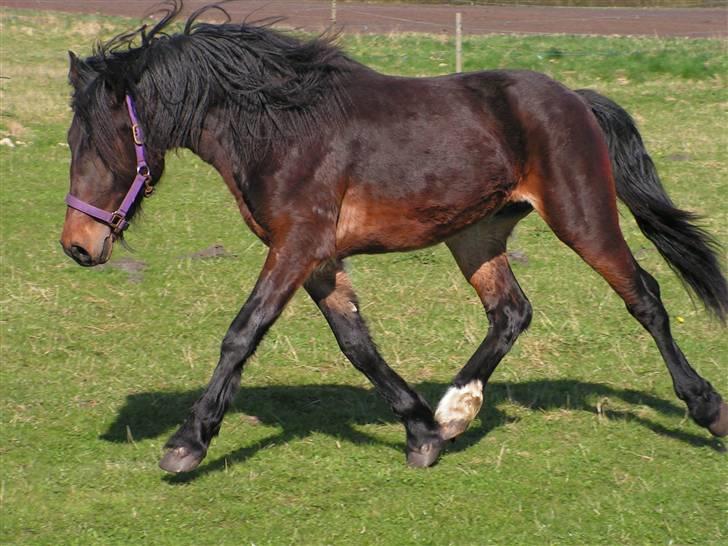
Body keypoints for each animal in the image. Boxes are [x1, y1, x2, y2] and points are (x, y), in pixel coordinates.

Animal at [59, 3, 724, 472]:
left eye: (103, 141)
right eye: (70, 140)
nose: (77, 245)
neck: (281, 127)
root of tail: (575, 100)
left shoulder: (296, 245)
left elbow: (242, 333)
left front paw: (187, 442)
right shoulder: (319, 258)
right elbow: (357, 344)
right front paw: (421, 432)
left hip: (581, 217)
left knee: (645, 297)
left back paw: (707, 407)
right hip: (476, 235)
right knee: (511, 312)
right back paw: (454, 412)